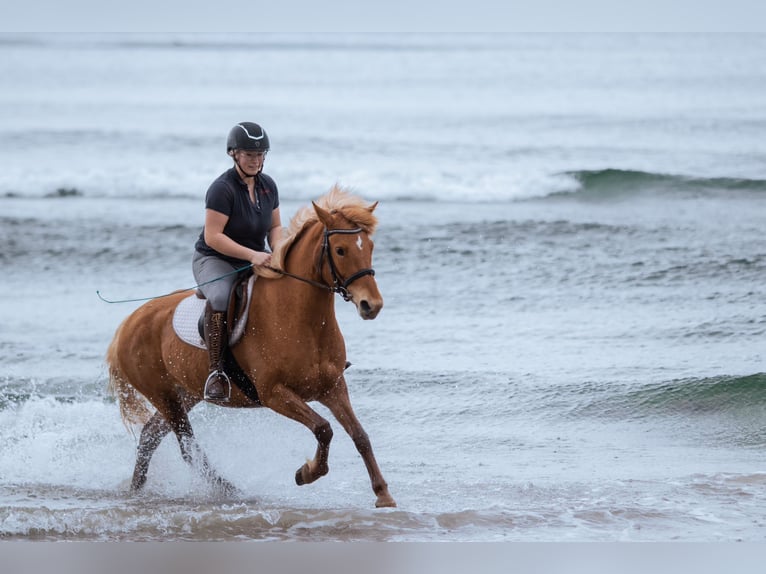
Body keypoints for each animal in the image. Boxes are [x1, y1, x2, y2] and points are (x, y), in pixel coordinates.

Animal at [106, 188, 396, 508]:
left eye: (369, 246)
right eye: (341, 250)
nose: (371, 305)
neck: (300, 319)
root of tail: (128, 323)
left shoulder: (333, 387)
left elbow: (360, 435)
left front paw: (383, 495)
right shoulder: (274, 393)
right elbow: (323, 428)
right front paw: (307, 473)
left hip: (184, 393)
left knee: (150, 436)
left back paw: (137, 489)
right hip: (164, 396)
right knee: (186, 446)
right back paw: (227, 489)